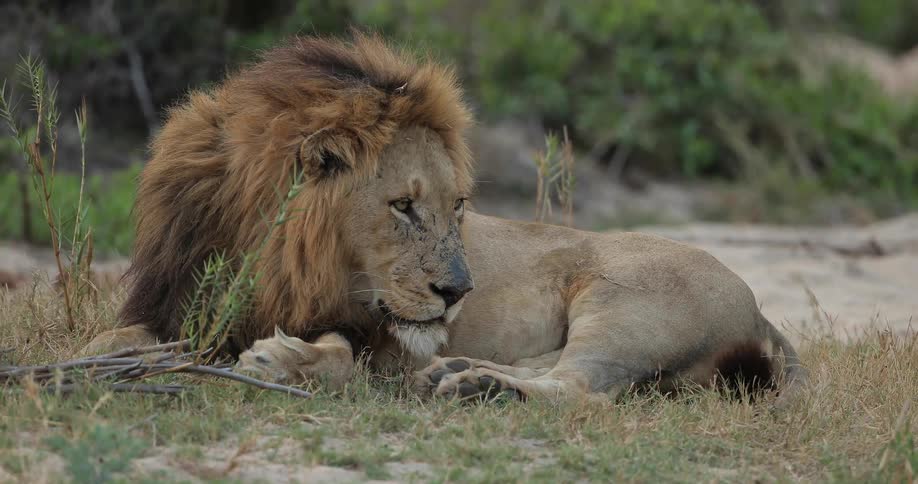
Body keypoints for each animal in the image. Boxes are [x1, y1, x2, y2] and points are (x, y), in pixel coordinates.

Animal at [83, 33, 807, 407]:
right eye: (403, 206)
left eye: (458, 205)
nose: (460, 292)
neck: (263, 246)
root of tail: (758, 306)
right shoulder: (171, 302)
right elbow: (113, 339)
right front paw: (99, 362)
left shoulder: (375, 346)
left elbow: (337, 359)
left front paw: (282, 360)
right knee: (557, 372)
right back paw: (453, 374)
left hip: (625, 307)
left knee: (582, 391)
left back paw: (477, 387)